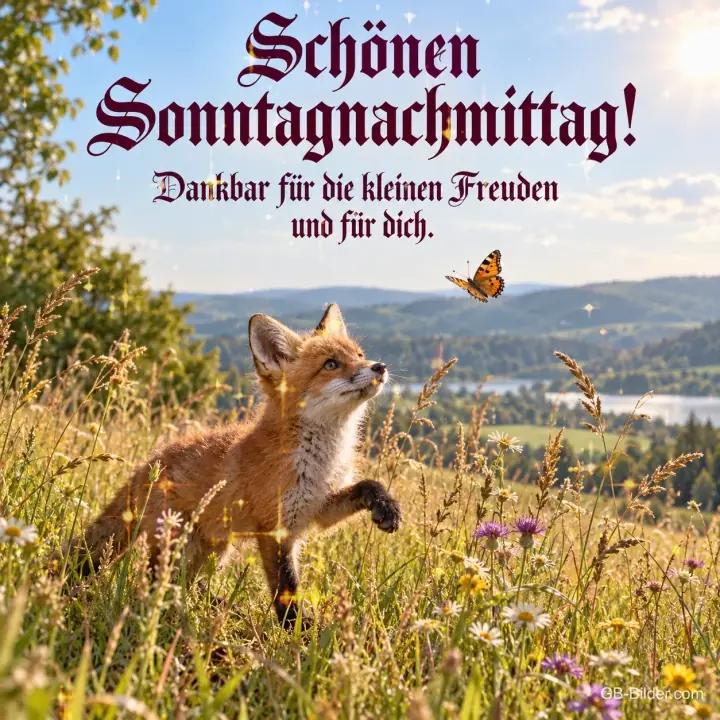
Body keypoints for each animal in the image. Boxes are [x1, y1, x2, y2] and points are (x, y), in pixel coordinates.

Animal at [69, 303, 401, 628]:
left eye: (359, 355)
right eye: (331, 364)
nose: (380, 366)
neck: (320, 463)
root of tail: (148, 465)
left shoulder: (318, 506)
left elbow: (366, 485)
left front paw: (386, 506)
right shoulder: (275, 528)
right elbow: (286, 588)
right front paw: (297, 632)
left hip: (212, 549)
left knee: (186, 585)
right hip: (178, 545)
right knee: (152, 586)